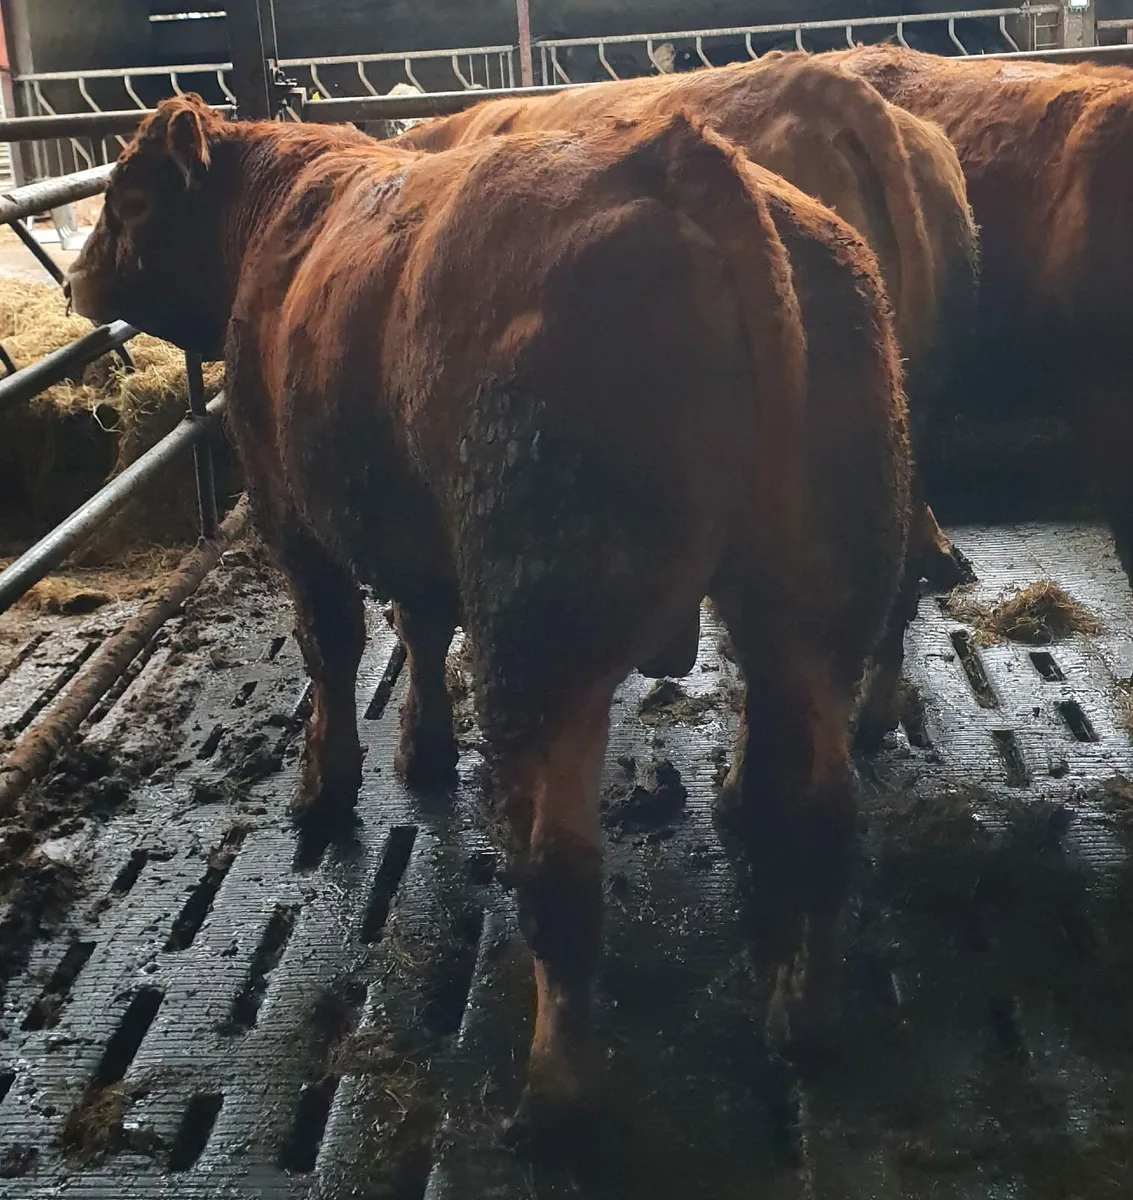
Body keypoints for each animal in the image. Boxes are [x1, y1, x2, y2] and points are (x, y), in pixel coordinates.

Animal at [66, 95, 911, 1141]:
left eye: (131, 199)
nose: (78, 276)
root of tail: (685, 159)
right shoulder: (412, 524)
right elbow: (422, 627)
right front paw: (422, 748)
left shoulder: (288, 503)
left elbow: (334, 643)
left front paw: (324, 785)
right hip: (822, 602)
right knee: (824, 818)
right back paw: (806, 1014)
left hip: (543, 625)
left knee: (560, 870)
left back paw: (553, 1092)